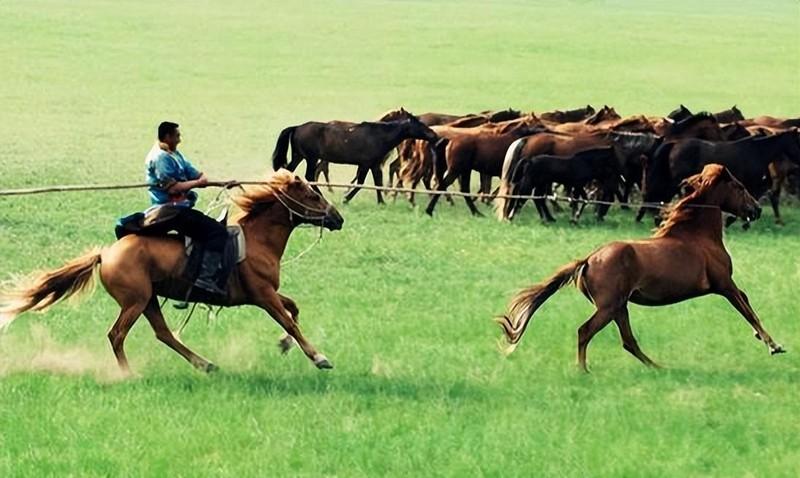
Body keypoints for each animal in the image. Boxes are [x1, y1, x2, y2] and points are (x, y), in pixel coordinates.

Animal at [0, 171, 344, 374]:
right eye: (313, 195)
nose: (337, 218)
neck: (258, 239)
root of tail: (106, 254)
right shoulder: (263, 295)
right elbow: (290, 320)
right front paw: (319, 358)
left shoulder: (268, 294)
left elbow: (294, 310)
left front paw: (284, 345)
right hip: (135, 301)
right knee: (117, 335)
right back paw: (129, 374)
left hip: (149, 299)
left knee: (163, 333)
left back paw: (205, 364)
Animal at [496, 162, 784, 372]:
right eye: (739, 187)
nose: (756, 210)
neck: (698, 237)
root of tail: (588, 260)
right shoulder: (724, 284)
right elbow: (748, 310)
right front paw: (774, 345)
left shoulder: (725, 285)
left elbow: (747, 304)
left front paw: (763, 339)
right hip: (610, 307)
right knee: (585, 332)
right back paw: (583, 371)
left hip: (620, 307)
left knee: (628, 341)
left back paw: (658, 367)